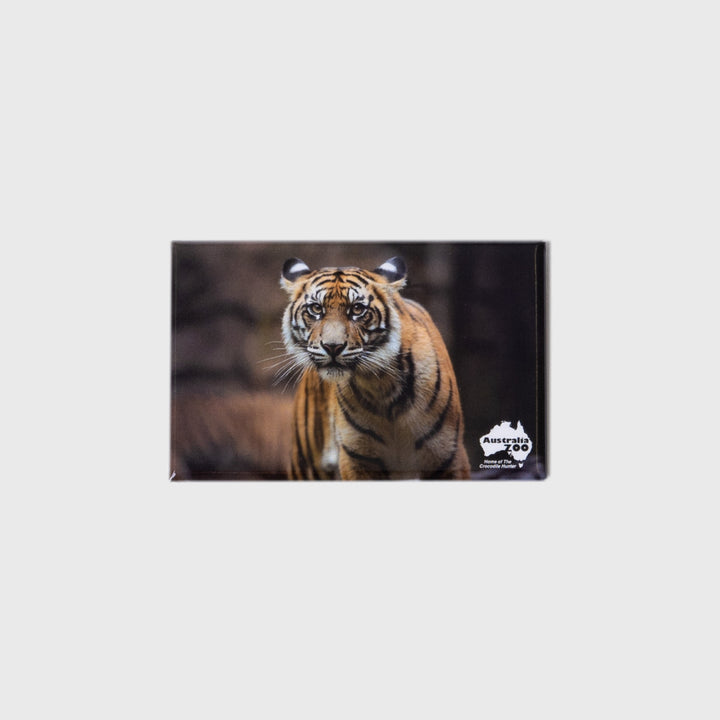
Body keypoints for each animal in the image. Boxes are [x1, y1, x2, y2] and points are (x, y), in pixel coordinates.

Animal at [280, 256, 471, 480]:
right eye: (316, 309)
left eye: (357, 309)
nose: (332, 347)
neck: (380, 386)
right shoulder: (358, 460)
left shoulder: (449, 456)